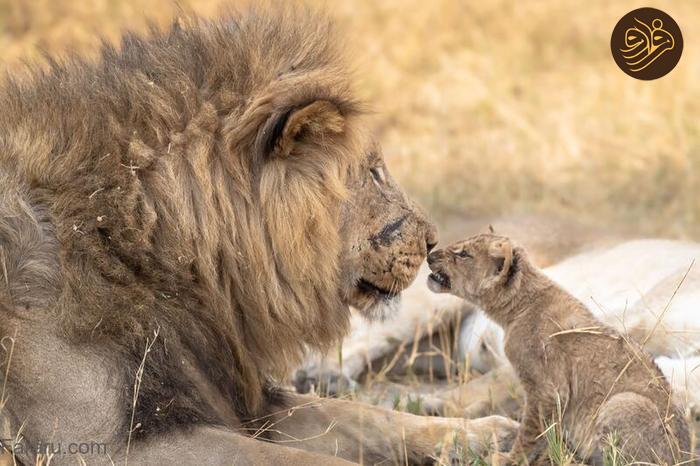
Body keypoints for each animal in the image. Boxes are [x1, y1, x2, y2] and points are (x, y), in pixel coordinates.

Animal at [0, 7, 516, 466]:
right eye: (373, 172)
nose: (432, 242)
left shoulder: (245, 402)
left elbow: (365, 418)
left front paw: (485, 434)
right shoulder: (102, 446)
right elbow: (313, 460)